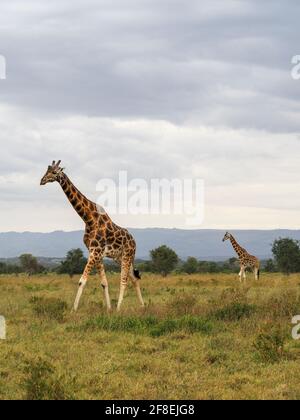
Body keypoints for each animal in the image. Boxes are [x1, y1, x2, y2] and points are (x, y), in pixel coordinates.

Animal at [40, 161, 145, 312]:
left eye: (54, 172)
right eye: (46, 170)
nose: (42, 181)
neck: (88, 219)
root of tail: (134, 242)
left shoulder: (95, 251)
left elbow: (81, 281)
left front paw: (73, 310)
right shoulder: (96, 252)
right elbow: (104, 283)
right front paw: (108, 309)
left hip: (127, 255)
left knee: (124, 281)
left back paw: (119, 309)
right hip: (120, 258)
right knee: (134, 278)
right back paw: (142, 306)